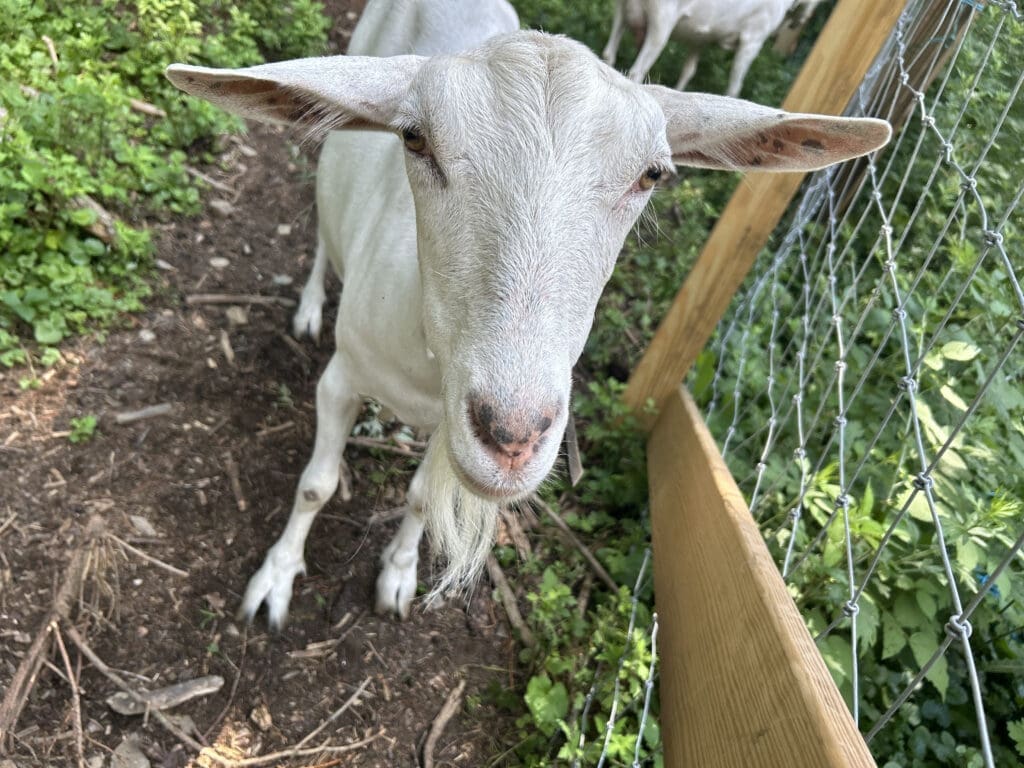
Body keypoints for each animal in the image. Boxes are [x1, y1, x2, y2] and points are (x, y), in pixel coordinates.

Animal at [602, 0, 824, 97]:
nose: (799, 22)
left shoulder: (700, 37)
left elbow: (689, 70)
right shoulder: (752, 40)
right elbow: (735, 87)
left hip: (623, 10)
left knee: (608, 56)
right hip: (662, 20)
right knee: (636, 72)